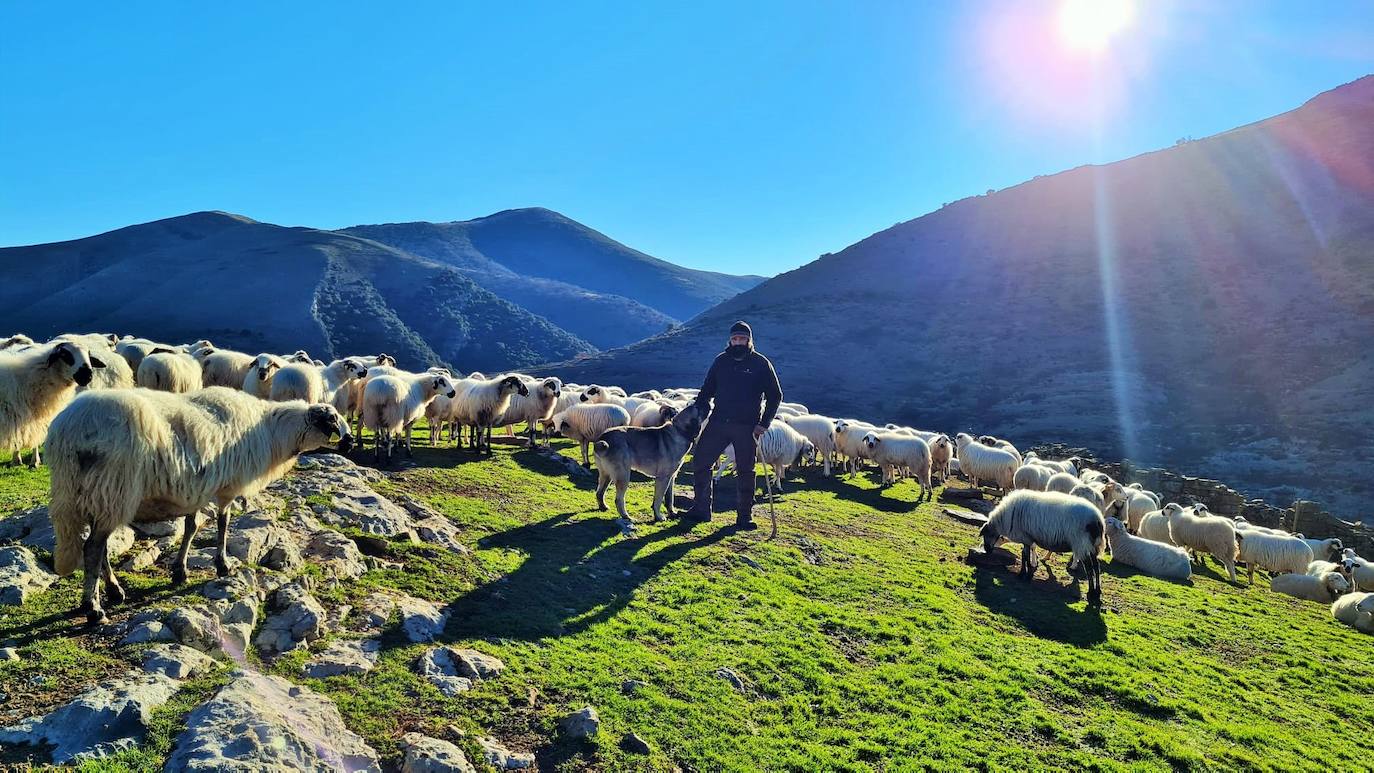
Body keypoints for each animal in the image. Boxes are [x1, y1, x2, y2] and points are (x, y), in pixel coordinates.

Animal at [45, 384, 351, 623]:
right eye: (332, 420)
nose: (348, 443)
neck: (271, 430)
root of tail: (69, 431)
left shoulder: (194, 490)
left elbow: (191, 528)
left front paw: (180, 570)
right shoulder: (227, 487)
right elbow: (223, 524)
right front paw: (222, 564)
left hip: (90, 494)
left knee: (100, 547)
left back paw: (113, 590)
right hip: (113, 488)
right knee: (93, 549)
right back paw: (93, 608)